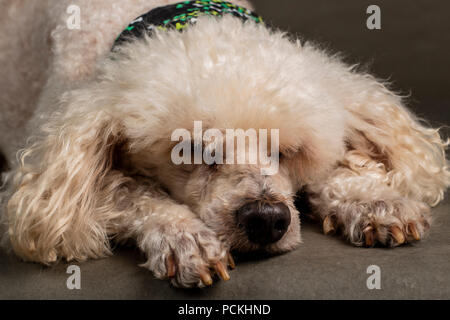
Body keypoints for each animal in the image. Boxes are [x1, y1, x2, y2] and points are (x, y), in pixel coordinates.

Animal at [0, 0, 450, 288]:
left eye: (288, 153)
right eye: (194, 151)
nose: (266, 219)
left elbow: (336, 173)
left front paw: (373, 201)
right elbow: (135, 193)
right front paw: (185, 239)